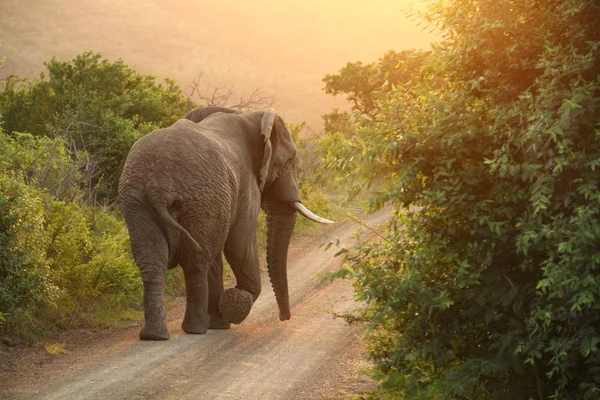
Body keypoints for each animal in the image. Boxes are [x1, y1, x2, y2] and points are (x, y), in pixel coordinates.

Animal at [118, 107, 332, 340]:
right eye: (290, 159)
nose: (285, 317)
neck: (251, 117)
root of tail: (159, 185)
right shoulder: (245, 184)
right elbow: (239, 246)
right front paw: (235, 303)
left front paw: (221, 320)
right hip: (200, 196)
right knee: (196, 262)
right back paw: (196, 329)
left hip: (137, 198)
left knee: (152, 260)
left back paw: (155, 335)